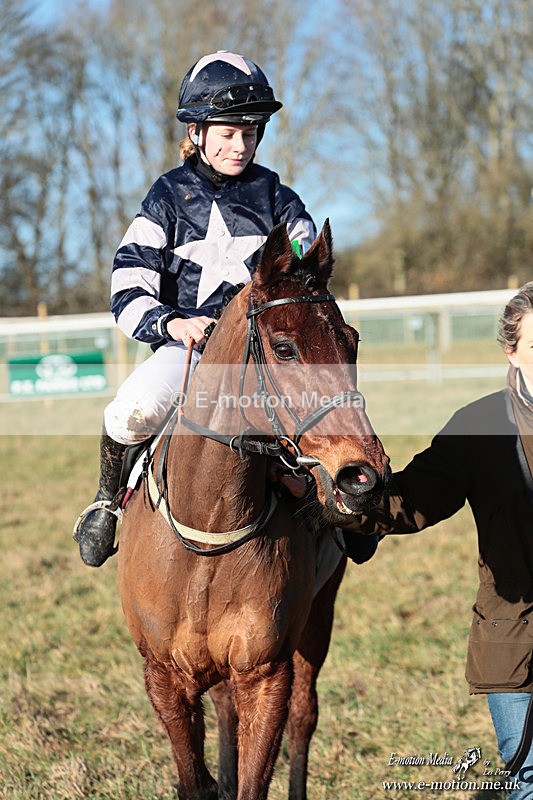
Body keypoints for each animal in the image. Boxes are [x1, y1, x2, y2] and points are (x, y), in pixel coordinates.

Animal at [117, 220, 390, 800]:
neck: (209, 530)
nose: (364, 475)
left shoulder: (267, 674)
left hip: (320, 614)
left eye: (352, 341)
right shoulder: (164, 677)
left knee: (306, 715)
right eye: (284, 348)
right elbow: (194, 777)